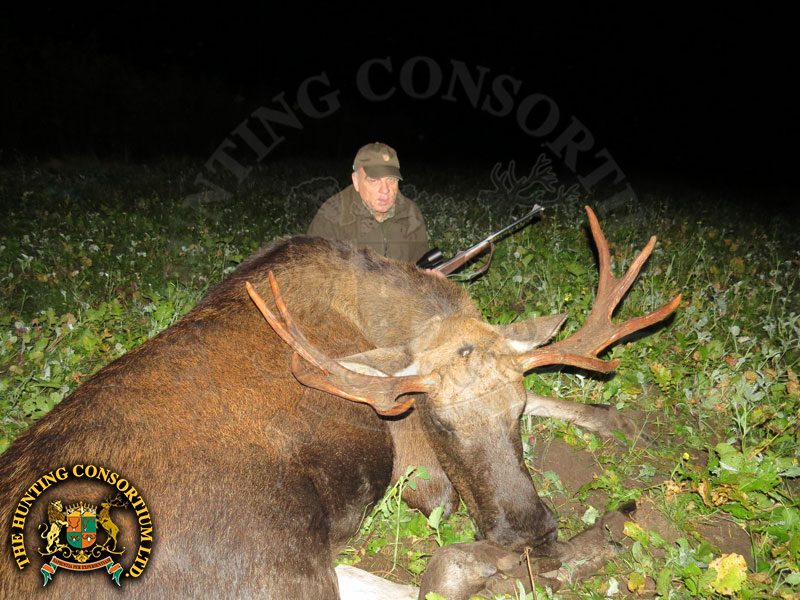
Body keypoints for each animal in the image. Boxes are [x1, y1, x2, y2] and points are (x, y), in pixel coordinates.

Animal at [0, 206, 679, 599]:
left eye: (511, 412)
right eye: (440, 423)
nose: (532, 532)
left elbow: (550, 392)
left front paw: (626, 422)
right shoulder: (410, 450)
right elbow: (441, 521)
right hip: (275, 564)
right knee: (431, 578)